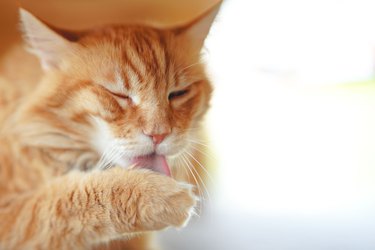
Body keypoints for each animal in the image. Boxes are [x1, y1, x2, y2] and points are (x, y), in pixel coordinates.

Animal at [0, 2, 220, 250]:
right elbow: (62, 202)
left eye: (178, 93)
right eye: (119, 95)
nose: (158, 134)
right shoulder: (13, 218)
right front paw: (156, 194)